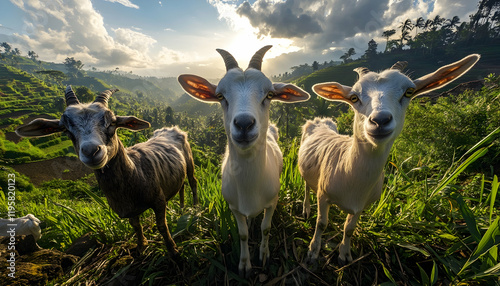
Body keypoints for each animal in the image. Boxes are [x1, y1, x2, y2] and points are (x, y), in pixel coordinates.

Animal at [15, 86, 197, 255]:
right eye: (65, 129)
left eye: (112, 122)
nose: (91, 151)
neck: (135, 172)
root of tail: (171, 128)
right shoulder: (128, 210)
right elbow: (136, 227)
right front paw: (141, 246)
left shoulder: (158, 200)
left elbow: (162, 226)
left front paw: (173, 250)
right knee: (181, 186)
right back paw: (182, 208)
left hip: (189, 160)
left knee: (193, 182)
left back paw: (195, 209)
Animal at [176, 45, 308, 276]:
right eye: (220, 95)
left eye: (270, 94)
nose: (244, 123)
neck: (250, 186)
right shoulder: (234, 208)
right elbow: (243, 234)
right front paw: (245, 264)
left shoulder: (272, 201)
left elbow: (266, 228)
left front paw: (263, 255)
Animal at [298, 54, 482, 266]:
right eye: (354, 97)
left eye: (409, 92)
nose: (380, 120)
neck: (350, 172)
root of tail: (320, 120)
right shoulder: (323, 194)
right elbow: (321, 223)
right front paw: (313, 251)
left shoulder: (361, 206)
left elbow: (349, 229)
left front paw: (345, 255)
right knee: (306, 186)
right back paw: (305, 209)